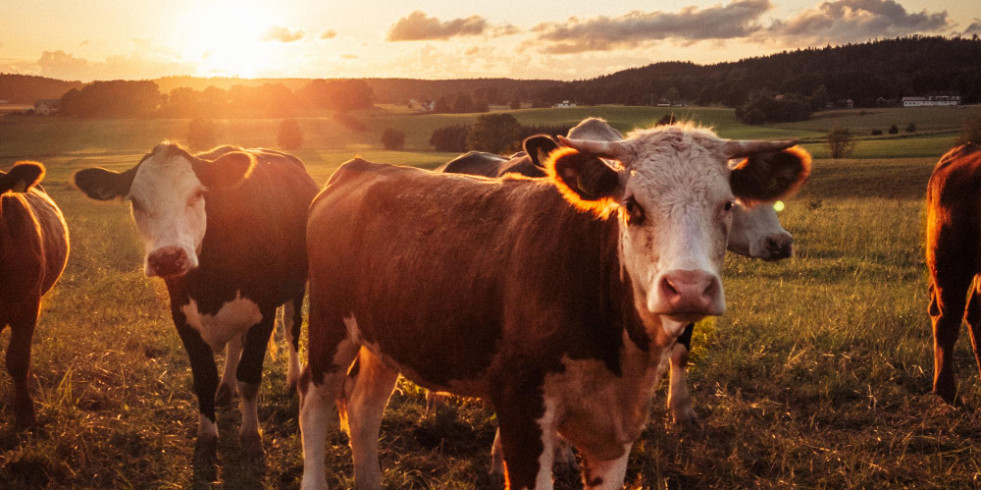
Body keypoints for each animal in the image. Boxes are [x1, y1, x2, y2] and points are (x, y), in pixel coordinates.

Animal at [72, 144, 318, 454]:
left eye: (198, 194)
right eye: (135, 202)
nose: (167, 258)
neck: (209, 284)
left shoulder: (263, 312)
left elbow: (249, 377)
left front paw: (251, 434)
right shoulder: (182, 316)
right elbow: (203, 378)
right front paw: (207, 434)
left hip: (298, 286)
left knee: (291, 326)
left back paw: (293, 378)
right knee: (235, 342)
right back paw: (226, 387)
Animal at [300, 123, 812, 490]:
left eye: (727, 205)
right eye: (632, 205)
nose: (687, 287)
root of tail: (362, 168)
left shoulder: (616, 429)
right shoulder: (522, 409)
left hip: (384, 336)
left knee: (364, 410)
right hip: (329, 325)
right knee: (315, 405)